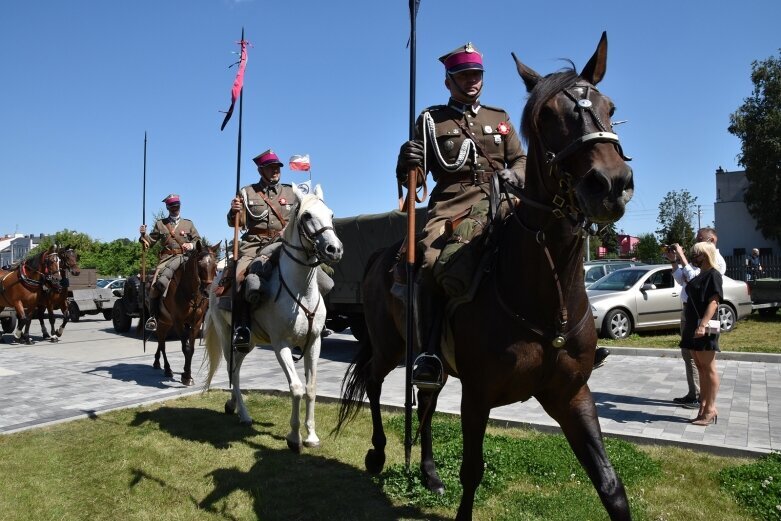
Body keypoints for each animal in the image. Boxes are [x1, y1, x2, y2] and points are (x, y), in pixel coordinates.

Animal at [150, 242, 218, 384]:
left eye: (214, 265)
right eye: (200, 264)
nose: (207, 292)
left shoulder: (196, 323)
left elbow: (190, 348)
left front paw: (188, 374)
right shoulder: (178, 322)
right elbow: (185, 348)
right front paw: (186, 376)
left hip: (167, 322)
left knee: (161, 342)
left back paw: (157, 362)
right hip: (162, 321)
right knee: (162, 343)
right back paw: (167, 369)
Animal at [204, 184, 342, 450]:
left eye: (331, 214)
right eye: (307, 215)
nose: (335, 249)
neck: (300, 289)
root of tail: (216, 280)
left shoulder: (314, 342)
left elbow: (310, 387)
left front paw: (311, 436)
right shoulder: (281, 345)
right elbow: (296, 388)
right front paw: (294, 438)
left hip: (248, 342)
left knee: (236, 370)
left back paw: (233, 405)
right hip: (227, 336)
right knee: (232, 370)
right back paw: (243, 413)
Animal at [336, 33, 632, 520]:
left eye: (610, 106)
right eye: (547, 115)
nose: (610, 184)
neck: (546, 295)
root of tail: (382, 255)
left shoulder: (572, 395)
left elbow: (610, 485)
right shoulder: (477, 396)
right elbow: (472, 472)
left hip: (430, 361)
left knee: (426, 402)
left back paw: (428, 472)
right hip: (390, 344)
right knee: (376, 382)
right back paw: (378, 453)